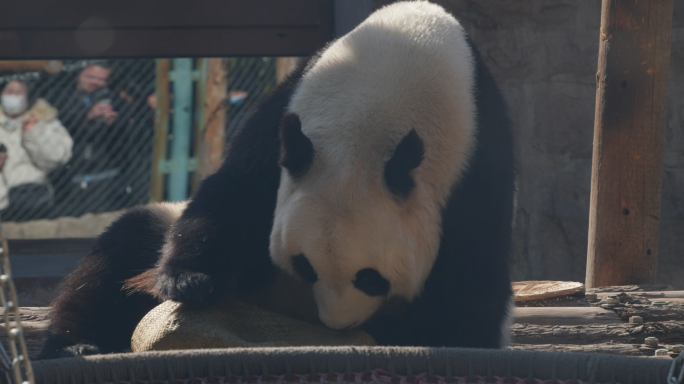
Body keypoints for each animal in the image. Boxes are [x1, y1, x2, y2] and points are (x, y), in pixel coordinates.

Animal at [37, 0, 516, 360]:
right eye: (304, 266)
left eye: (371, 278)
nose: (338, 324)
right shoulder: (287, 114)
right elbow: (234, 192)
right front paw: (190, 281)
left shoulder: (475, 157)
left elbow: (472, 266)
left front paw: (450, 338)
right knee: (120, 254)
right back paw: (76, 344)